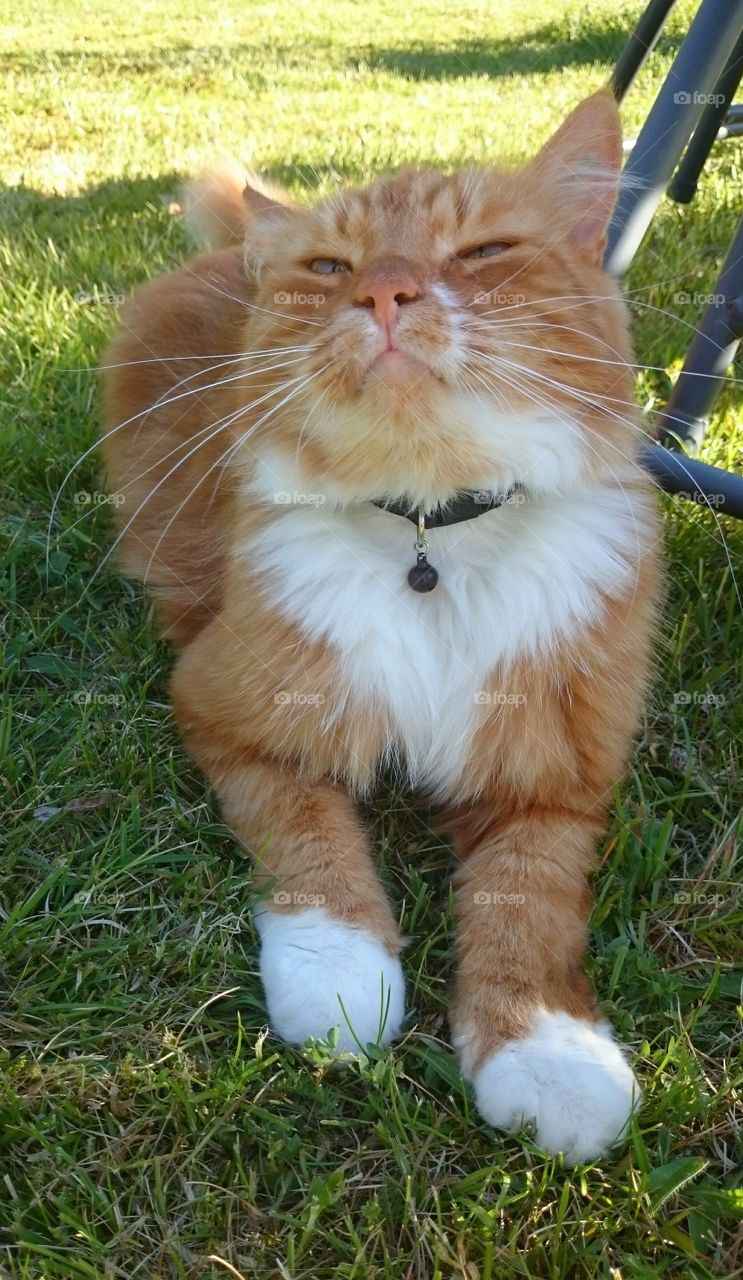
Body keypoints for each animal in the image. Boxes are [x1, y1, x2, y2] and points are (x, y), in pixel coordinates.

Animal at [101, 94, 661, 1167]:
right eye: (329, 268)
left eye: (484, 250)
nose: (386, 293)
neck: (431, 542)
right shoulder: (231, 717)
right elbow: (317, 854)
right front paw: (342, 988)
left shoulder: (554, 784)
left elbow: (527, 909)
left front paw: (550, 1057)